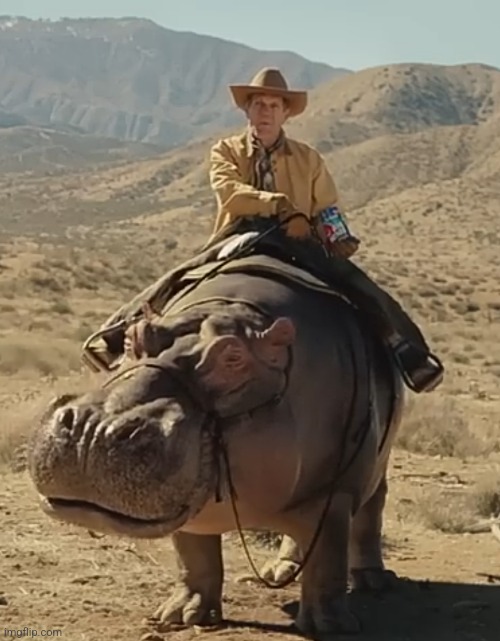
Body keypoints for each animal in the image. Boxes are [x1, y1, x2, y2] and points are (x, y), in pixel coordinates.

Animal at [28, 231, 406, 640]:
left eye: (233, 358)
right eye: (130, 339)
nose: (93, 429)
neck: (233, 312)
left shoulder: (336, 494)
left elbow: (328, 561)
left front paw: (331, 628)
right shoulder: (195, 507)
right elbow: (194, 556)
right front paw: (180, 617)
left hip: (377, 467)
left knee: (370, 514)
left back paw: (373, 581)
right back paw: (279, 572)